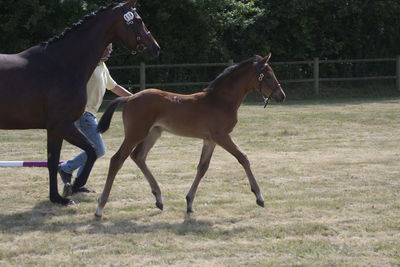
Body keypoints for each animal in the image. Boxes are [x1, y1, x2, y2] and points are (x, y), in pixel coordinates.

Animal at [95, 54, 286, 218]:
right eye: (268, 76)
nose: (282, 96)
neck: (220, 101)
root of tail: (129, 98)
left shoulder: (210, 140)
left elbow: (202, 167)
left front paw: (189, 203)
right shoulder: (221, 136)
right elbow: (243, 158)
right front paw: (259, 197)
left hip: (153, 133)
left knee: (138, 156)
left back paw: (159, 198)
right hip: (135, 133)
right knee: (117, 159)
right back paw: (100, 208)